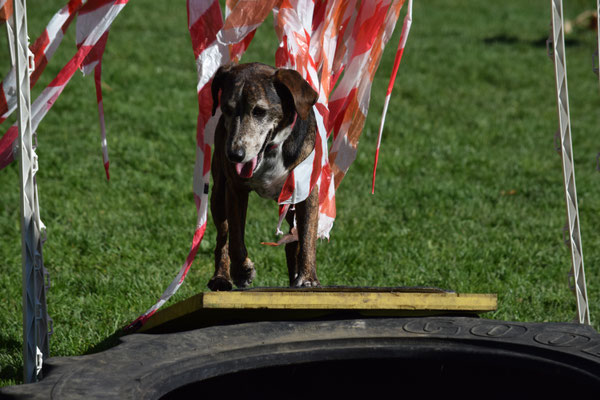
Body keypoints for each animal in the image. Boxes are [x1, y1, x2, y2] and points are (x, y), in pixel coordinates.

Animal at [209, 62, 324, 290]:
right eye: (227, 109)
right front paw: (241, 271)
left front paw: (307, 278)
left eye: (260, 111)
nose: (235, 154)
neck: (272, 150)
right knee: (222, 237)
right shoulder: (235, 189)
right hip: (217, 194)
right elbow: (235, 237)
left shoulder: (306, 191)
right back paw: (221, 277)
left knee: (294, 240)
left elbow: (308, 235)